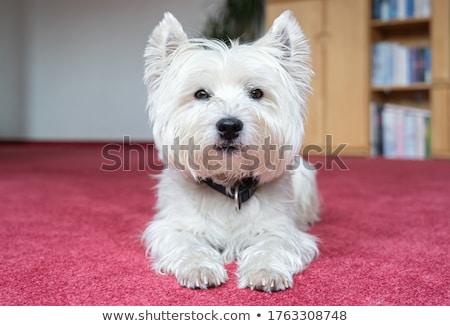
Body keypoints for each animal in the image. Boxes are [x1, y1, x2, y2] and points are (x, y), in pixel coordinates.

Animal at [142, 10, 318, 292]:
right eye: (201, 94)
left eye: (256, 93)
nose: (229, 126)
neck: (229, 185)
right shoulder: (172, 227)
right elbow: (187, 243)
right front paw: (199, 267)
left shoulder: (281, 229)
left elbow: (272, 245)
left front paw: (265, 271)